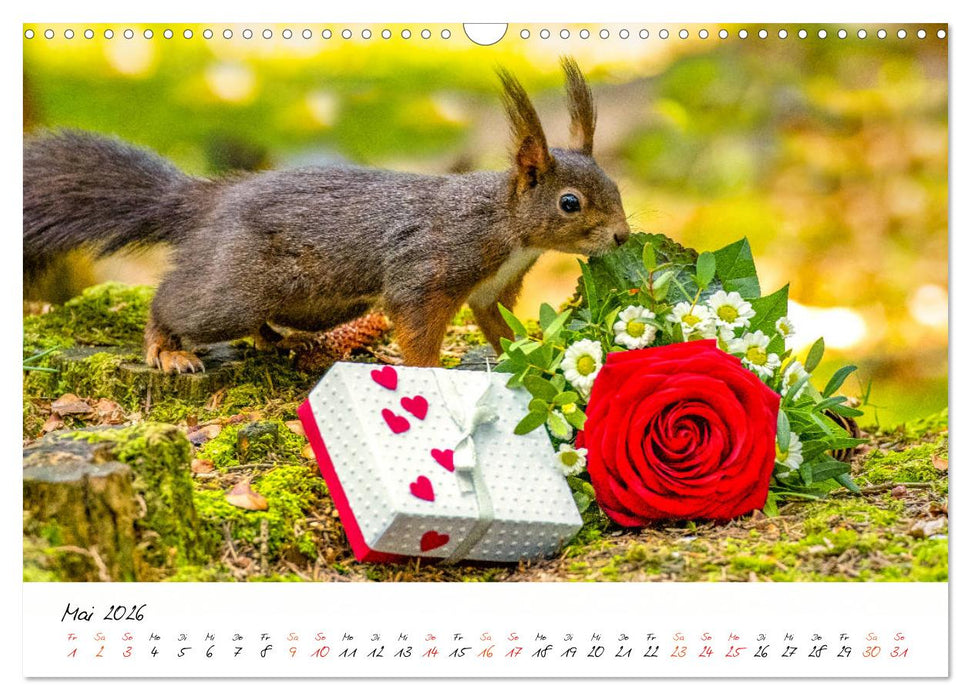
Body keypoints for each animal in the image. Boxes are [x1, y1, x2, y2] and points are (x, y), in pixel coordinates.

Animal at [23, 57, 630, 373]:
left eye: (615, 187)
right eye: (570, 203)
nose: (623, 236)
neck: (507, 226)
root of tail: (207, 201)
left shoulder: (491, 290)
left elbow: (499, 327)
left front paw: (530, 355)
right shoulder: (427, 271)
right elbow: (417, 327)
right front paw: (431, 375)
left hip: (318, 303)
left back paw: (277, 341)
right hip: (235, 288)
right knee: (177, 301)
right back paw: (167, 350)